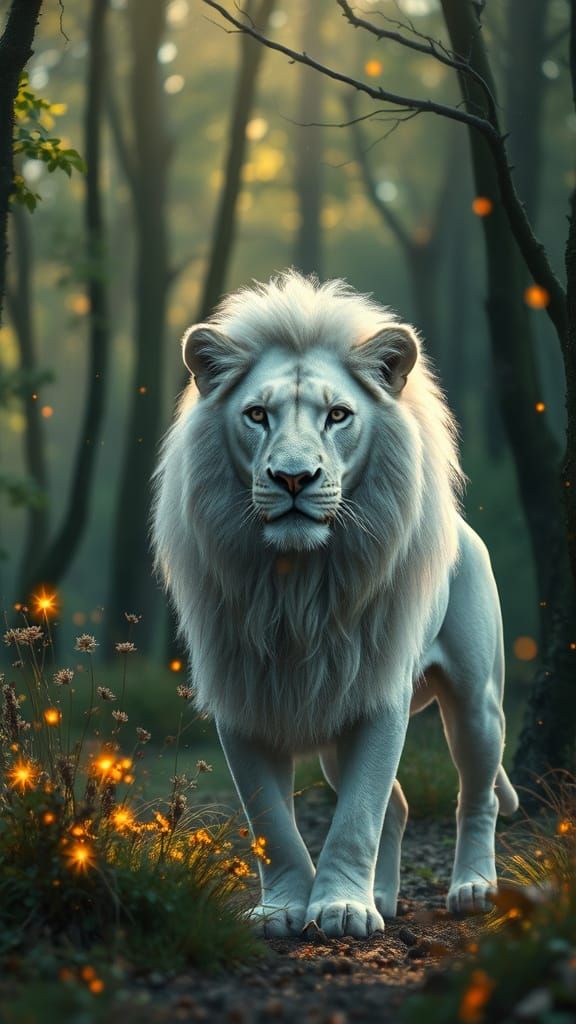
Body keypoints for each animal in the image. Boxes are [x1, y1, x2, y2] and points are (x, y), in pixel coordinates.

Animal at [152, 271, 518, 939]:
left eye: (338, 415)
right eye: (257, 414)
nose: (293, 478)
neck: (297, 585)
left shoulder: (378, 691)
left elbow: (357, 816)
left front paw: (342, 909)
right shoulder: (243, 696)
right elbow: (272, 821)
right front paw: (283, 909)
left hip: (477, 701)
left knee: (474, 795)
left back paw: (473, 889)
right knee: (399, 805)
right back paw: (389, 898)